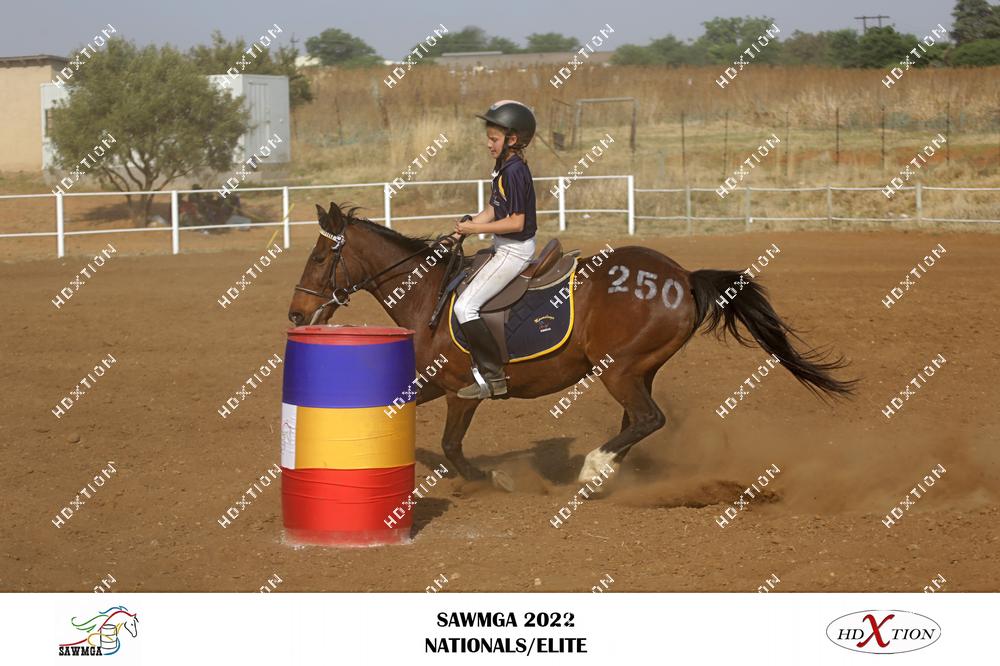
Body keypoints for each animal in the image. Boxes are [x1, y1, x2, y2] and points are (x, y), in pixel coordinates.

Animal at [288, 203, 854, 490]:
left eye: (318, 258)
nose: (295, 314)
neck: (429, 295)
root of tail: (682, 277)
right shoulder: (429, 386)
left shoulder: (456, 390)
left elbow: (451, 446)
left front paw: (493, 479)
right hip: (637, 369)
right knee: (638, 421)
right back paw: (611, 470)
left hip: (618, 369)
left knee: (648, 419)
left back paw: (594, 468)